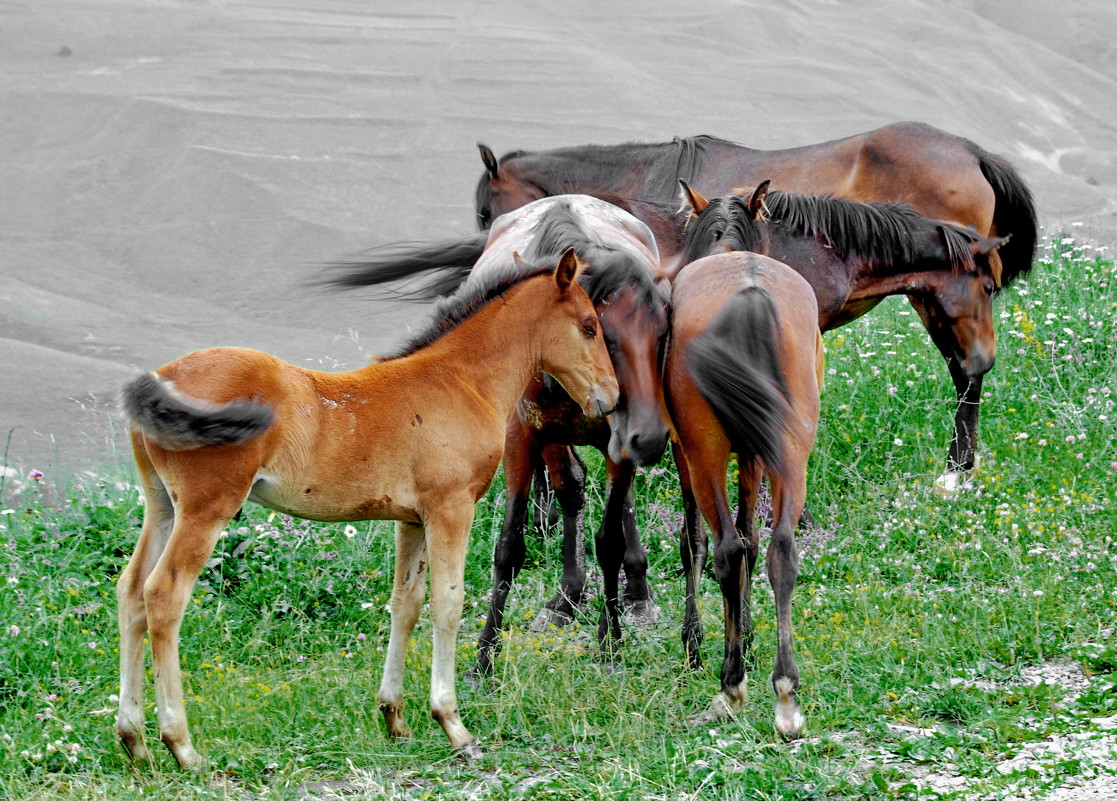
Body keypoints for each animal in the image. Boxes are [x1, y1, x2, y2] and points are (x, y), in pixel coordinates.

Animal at [114, 253, 621, 764]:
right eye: (590, 326)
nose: (611, 397)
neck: (461, 380)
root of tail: (161, 379)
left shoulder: (411, 519)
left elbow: (406, 604)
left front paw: (394, 718)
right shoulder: (451, 508)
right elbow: (449, 604)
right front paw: (454, 725)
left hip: (162, 506)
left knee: (131, 591)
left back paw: (134, 740)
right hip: (206, 508)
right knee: (164, 596)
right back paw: (182, 746)